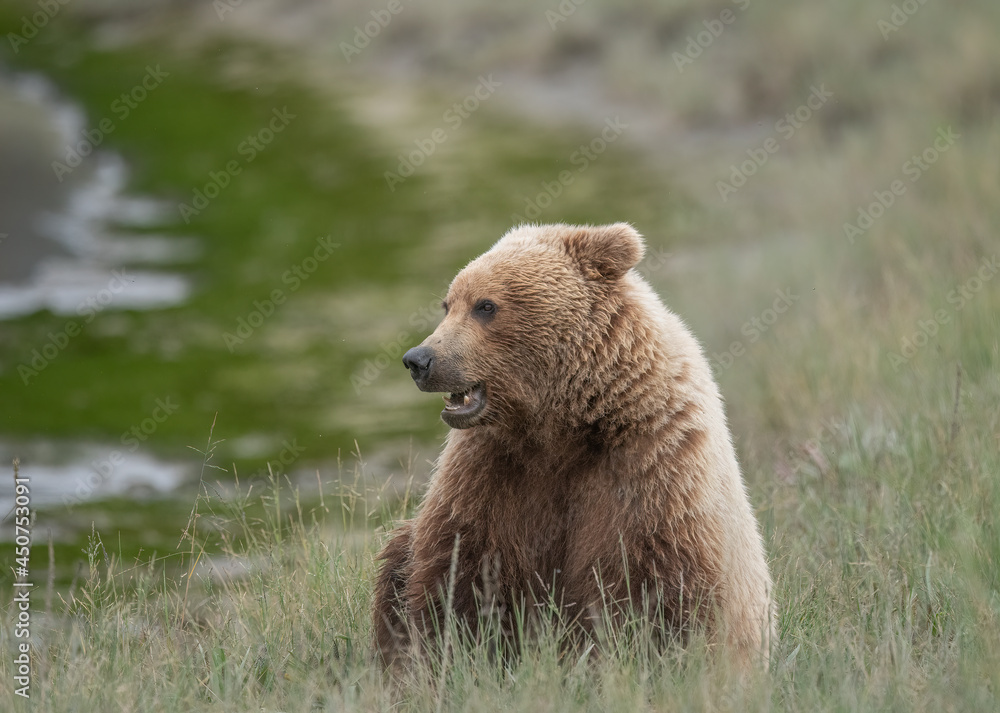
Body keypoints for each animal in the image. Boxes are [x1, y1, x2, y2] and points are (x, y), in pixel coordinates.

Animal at [373, 222, 773, 671]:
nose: (419, 360)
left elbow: (664, 592)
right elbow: (457, 570)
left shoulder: (651, 469)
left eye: (485, 305)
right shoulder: (488, 469)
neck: (560, 425)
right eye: (448, 304)